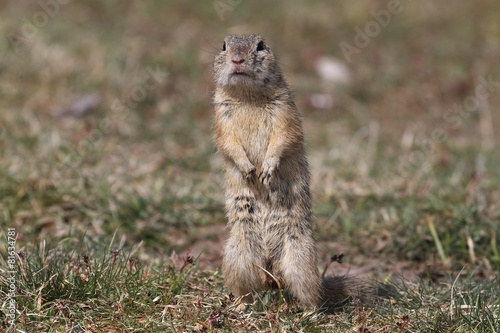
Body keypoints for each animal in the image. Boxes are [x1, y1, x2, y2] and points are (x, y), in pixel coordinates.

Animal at [212, 33, 364, 308]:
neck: (248, 96)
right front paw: (248, 168)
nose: (237, 59)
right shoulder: (221, 116)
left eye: (261, 45)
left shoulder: (284, 110)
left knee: (311, 294)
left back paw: (308, 311)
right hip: (237, 257)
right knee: (246, 290)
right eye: (224, 45)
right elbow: (229, 143)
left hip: (299, 261)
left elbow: (283, 138)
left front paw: (266, 169)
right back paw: (240, 306)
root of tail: (271, 273)